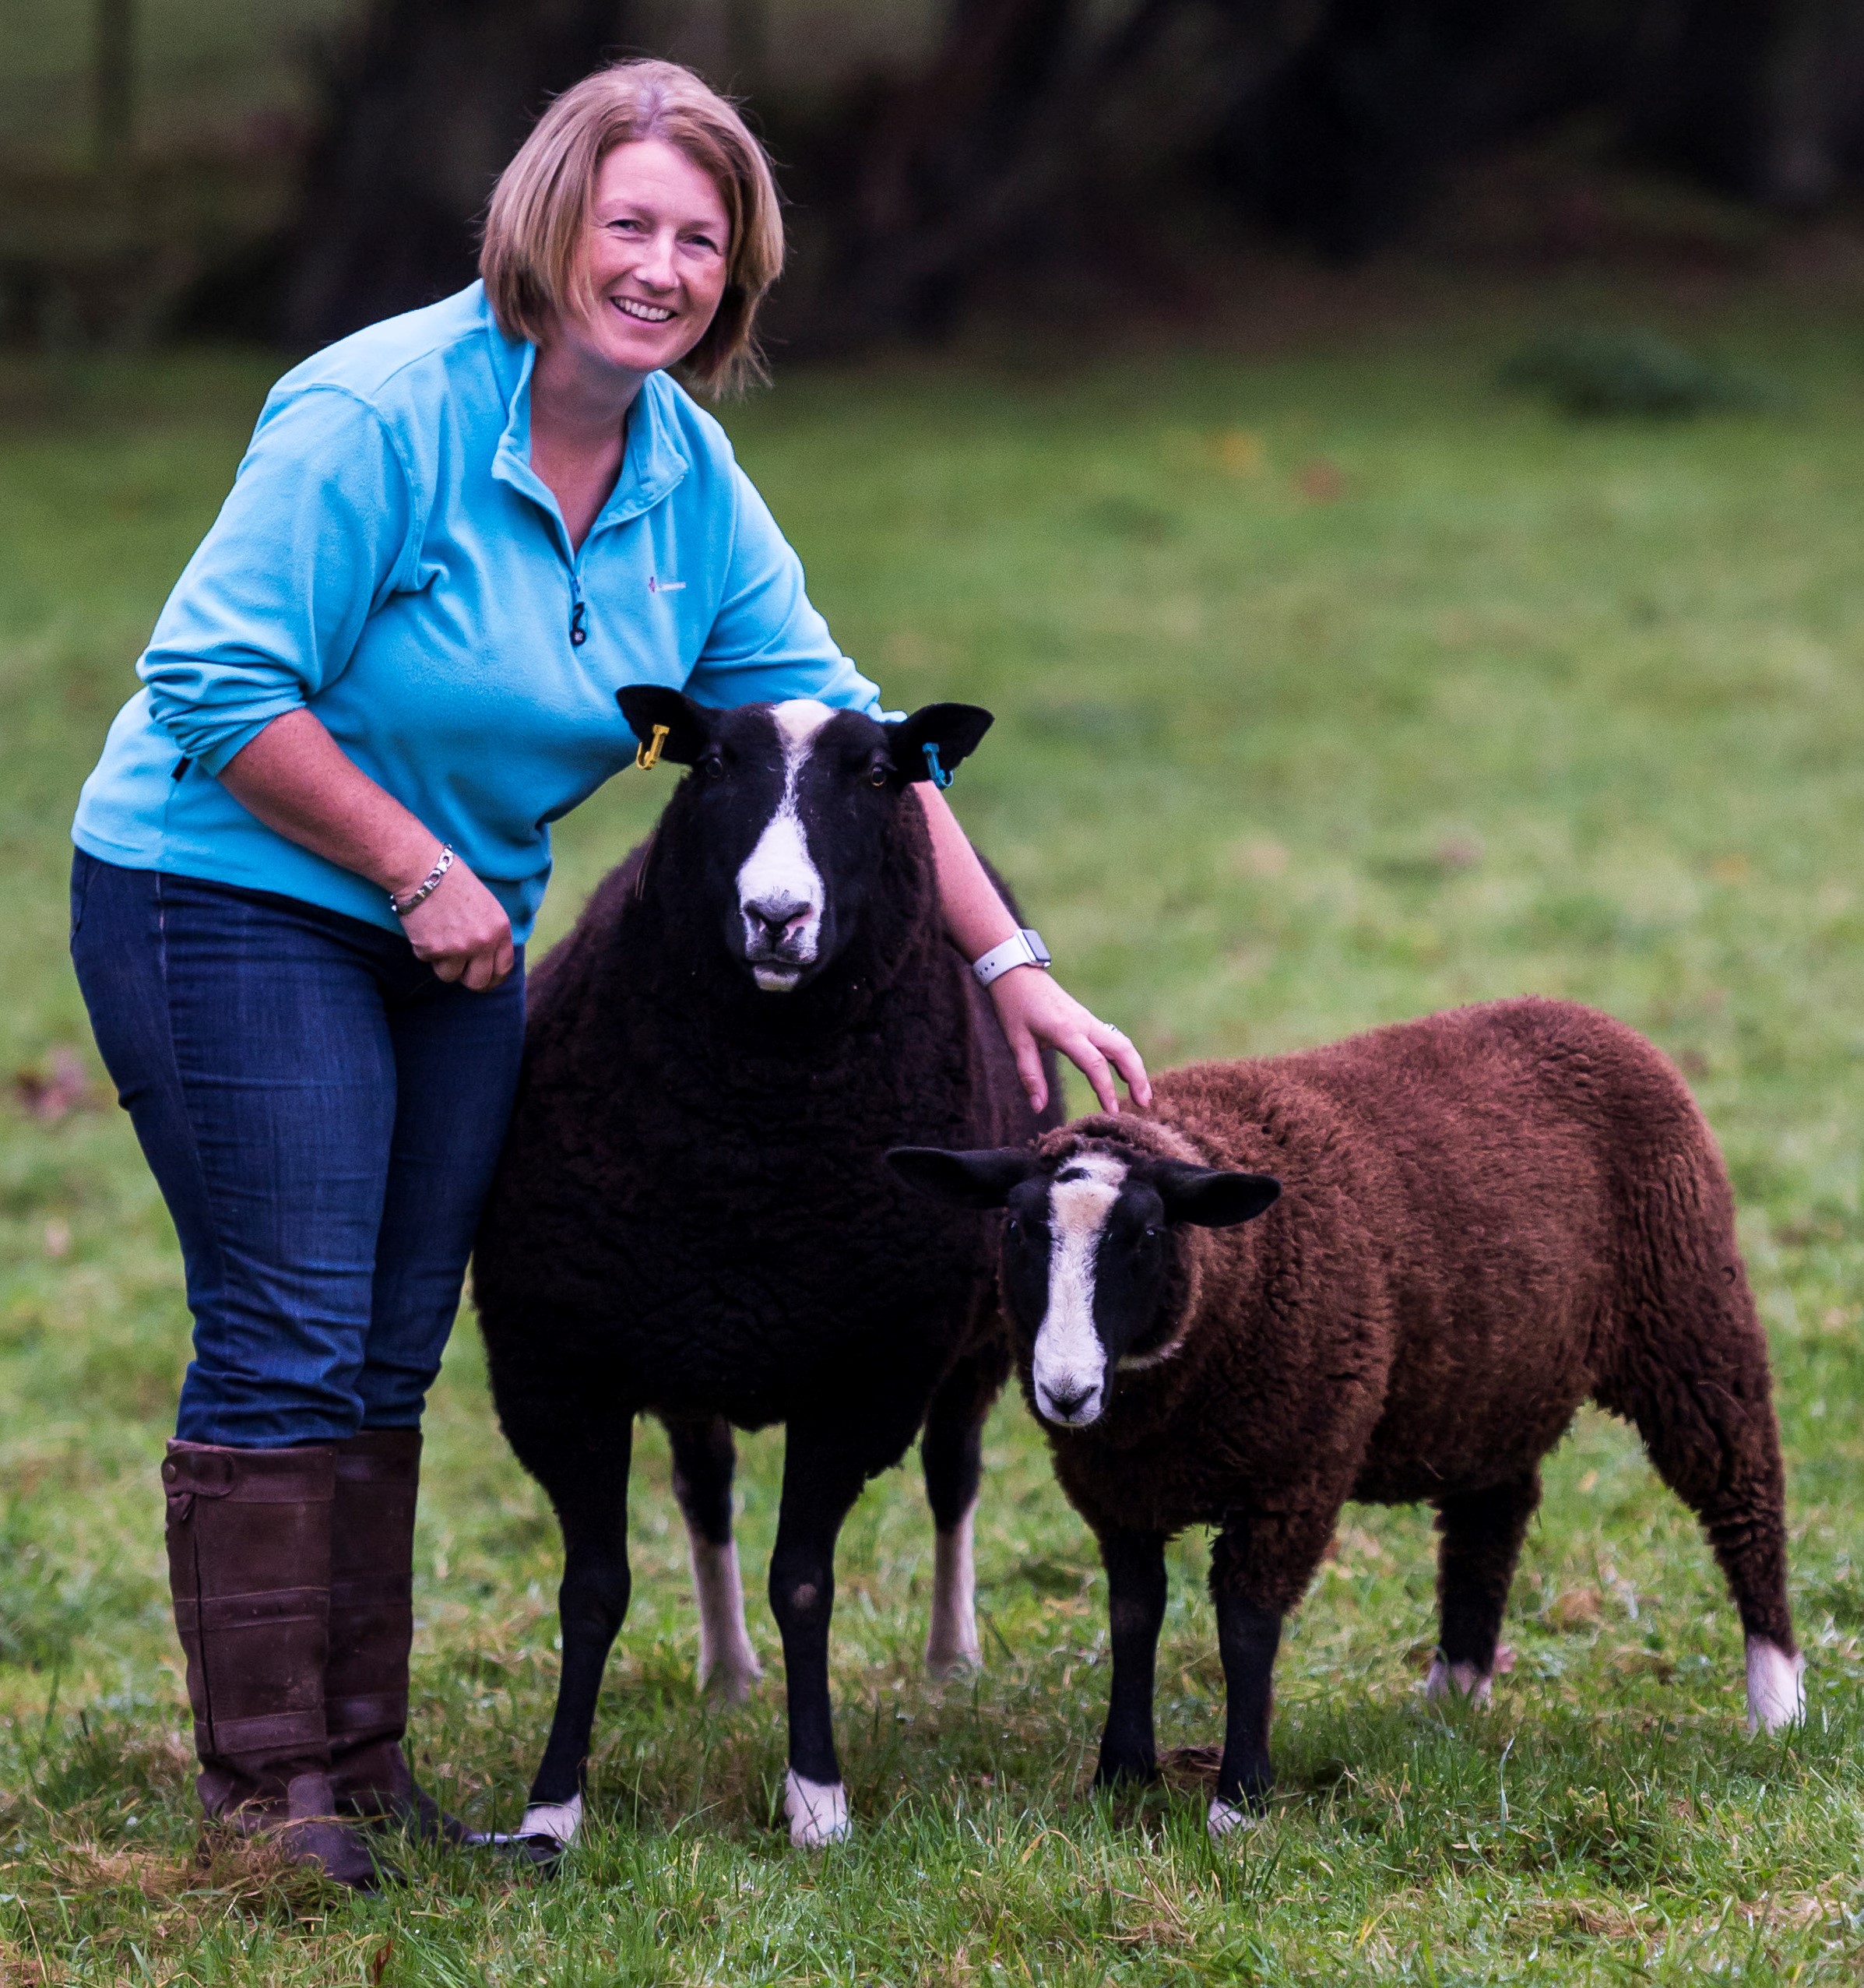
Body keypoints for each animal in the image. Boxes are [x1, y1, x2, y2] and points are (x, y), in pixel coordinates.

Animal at [471, 686, 1057, 1855]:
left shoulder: (865, 1376)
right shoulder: (560, 1367)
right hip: (688, 1356)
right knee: (705, 1498)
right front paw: (553, 1810)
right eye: (709, 767)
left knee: (953, 1479)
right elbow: (592, 1590)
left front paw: (817, 1801)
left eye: (876, 775)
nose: (776, 916)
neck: (747, 1152)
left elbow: (806, 1586)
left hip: (971, 1344)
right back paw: (727, 1672)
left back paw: (950, 1656)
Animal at [889, 996, 1803, 1837]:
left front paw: (1239, 1800)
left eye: (1144, 1236)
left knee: (1744, 1494)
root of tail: (1584, 1015)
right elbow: (1134, 1616)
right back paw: (1452, 1697)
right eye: (1015, 1226)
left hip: (1688, 1315)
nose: (1067, 1391)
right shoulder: (1118, 1491)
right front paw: (1120, 1776)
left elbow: (1246, 1626)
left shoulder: (1290, 1473)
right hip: (1495, 1375)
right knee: (1491, 1515)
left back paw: (1777, 1701)